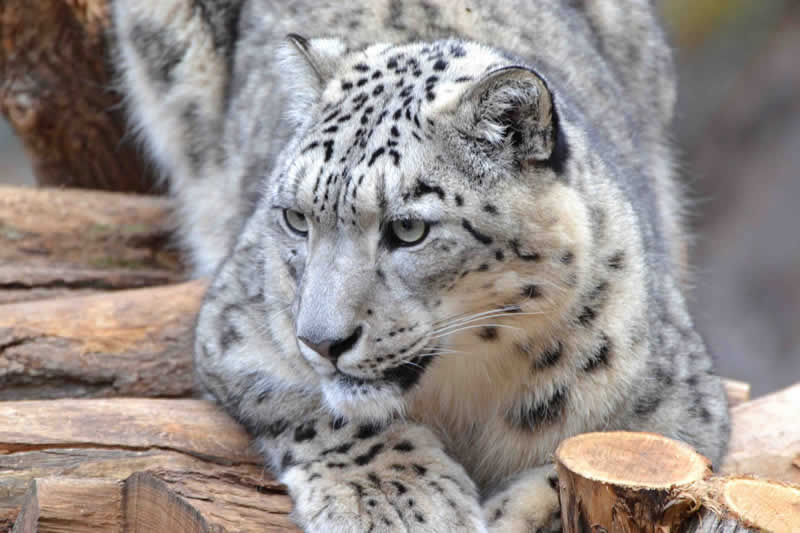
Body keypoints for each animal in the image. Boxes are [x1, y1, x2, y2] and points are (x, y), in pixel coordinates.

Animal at [112, 0, 732, 528]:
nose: (321, 342)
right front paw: (396, 500)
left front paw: (512, 516)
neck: (469, 389)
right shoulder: (233, 328)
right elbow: (313, 405)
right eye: (295, 218)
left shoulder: (679, 410)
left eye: (408, 229)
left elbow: (587, 465)